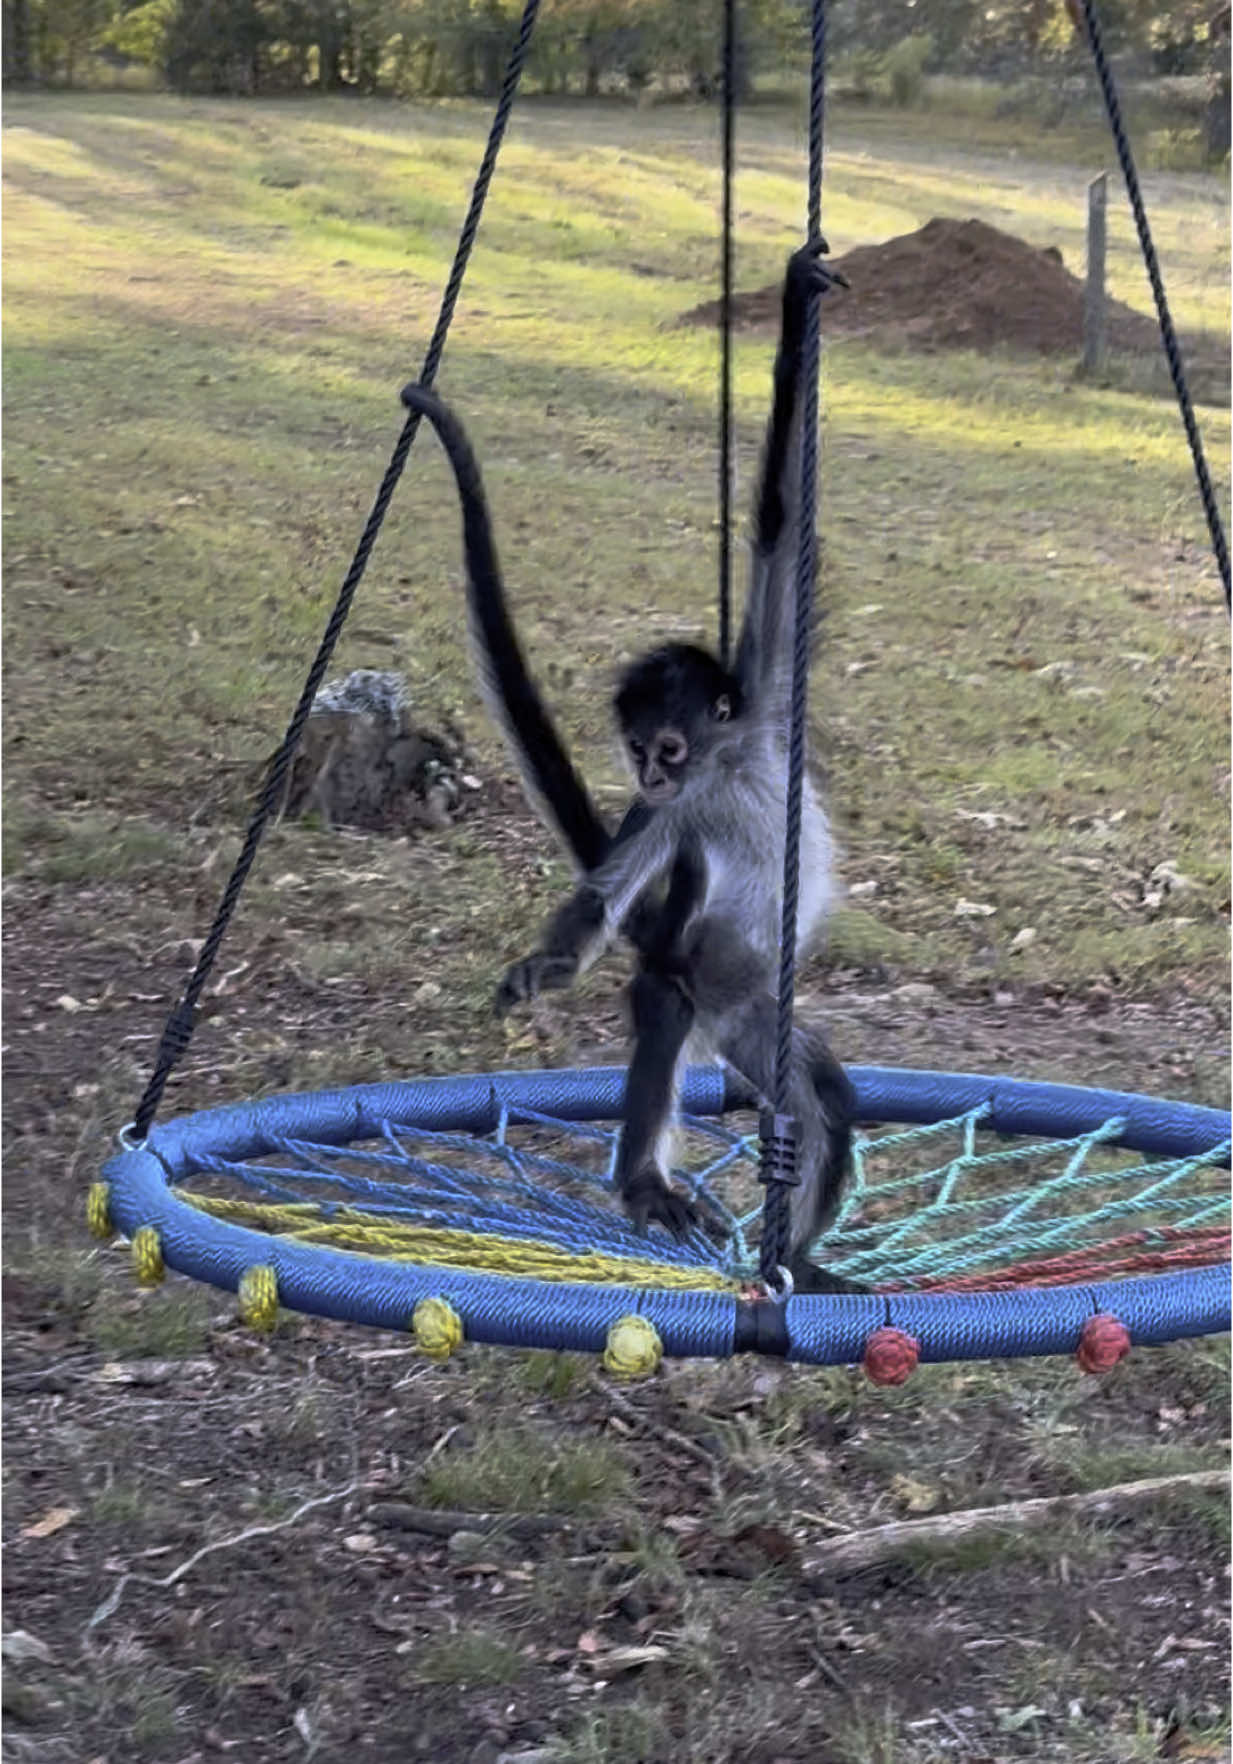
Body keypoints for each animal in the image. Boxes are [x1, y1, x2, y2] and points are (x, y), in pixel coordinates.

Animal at [401, 237, 855, 1292]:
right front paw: (543, 965)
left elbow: (780, 523)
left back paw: (797, 1259)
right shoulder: (671, 818)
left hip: (750, 1006)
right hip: (716, 990)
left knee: (822, 1100)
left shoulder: (765, 703)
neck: (724, 771)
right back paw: (651, 1187)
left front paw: (799, 299)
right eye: (639, 753)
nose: (649, 775)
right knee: (672, 1005)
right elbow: (599, 903)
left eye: (668, 745)